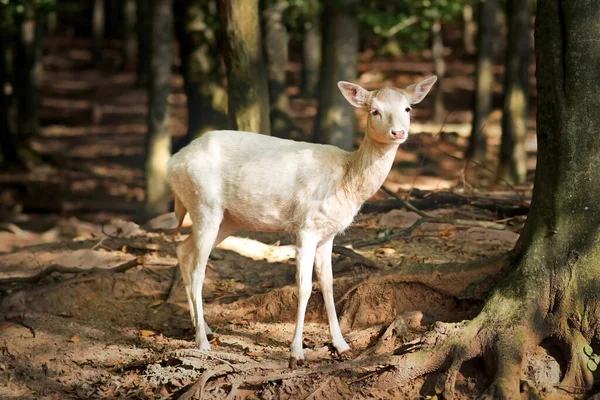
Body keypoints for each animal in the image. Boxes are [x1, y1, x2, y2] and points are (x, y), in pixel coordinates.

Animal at [166, 76, 438, 368]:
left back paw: (204, 328)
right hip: (204, 203)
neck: (346, 180)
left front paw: (342, 346)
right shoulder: (305, 226)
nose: (398, 132)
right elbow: (305, 287)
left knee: (183, 249)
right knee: (198, 269)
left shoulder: (328, 232)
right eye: (374, 110)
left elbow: (328, 284)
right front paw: (296, 353)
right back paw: (202, 343)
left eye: (408, 108)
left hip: (228, 218)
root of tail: (174, 161)